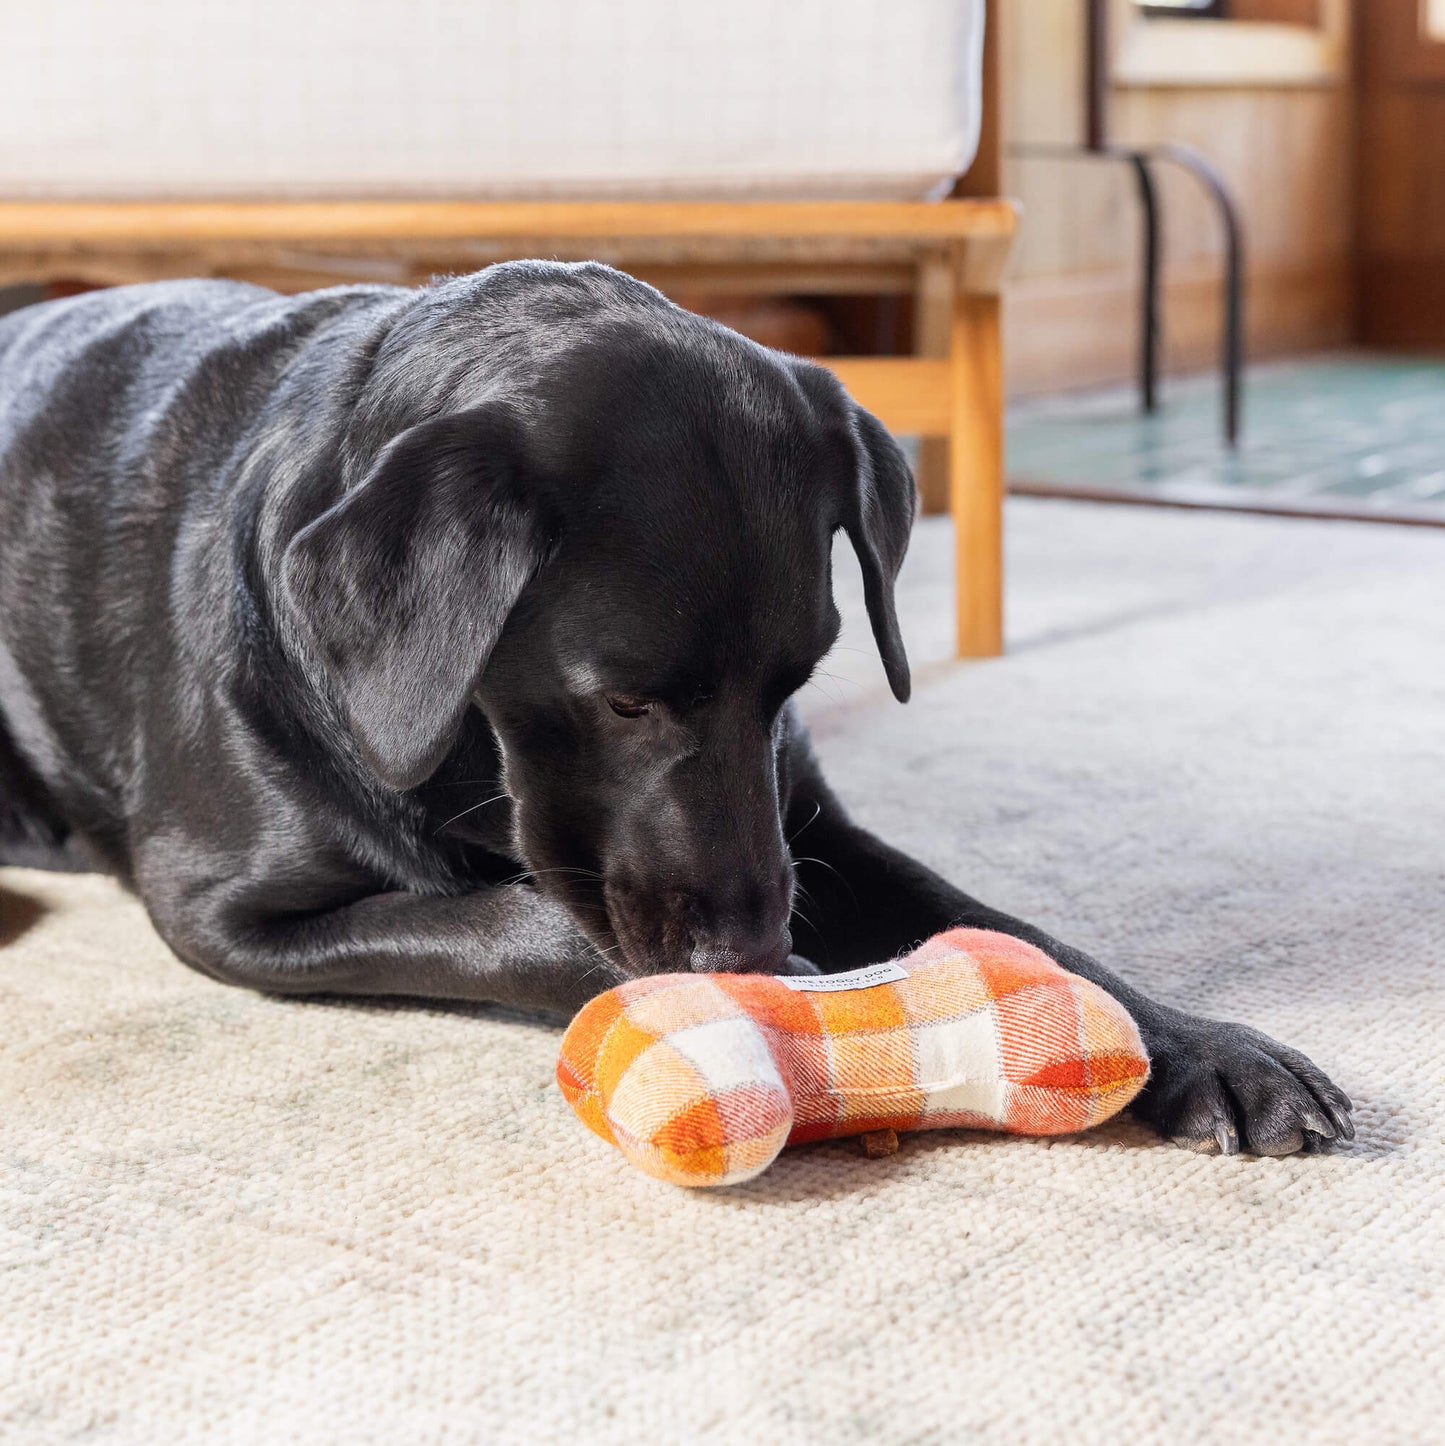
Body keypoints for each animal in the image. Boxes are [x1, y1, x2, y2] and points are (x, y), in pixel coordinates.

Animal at [2, 266, 1353, 1156]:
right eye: (622, 699)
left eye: (795, 682)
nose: (747, 952)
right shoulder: (223, 911)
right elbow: (510, 926)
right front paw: (780, 983)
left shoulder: (811, 820)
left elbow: (1016, 930)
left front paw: (1207, 1047)